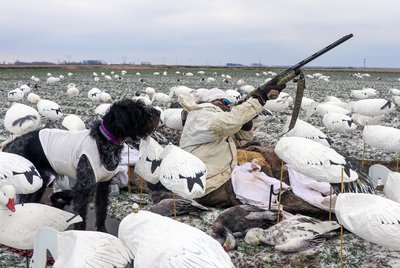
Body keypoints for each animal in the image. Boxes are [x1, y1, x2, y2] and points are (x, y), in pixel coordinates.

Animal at [3, 98, 159, 230]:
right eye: (139, 109)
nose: (158, 112)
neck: (103, 141)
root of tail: (9, 145)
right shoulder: (83, 188)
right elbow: (81, 216)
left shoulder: (103, 185)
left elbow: (101, 211)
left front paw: (102, 231)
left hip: (39, 182)